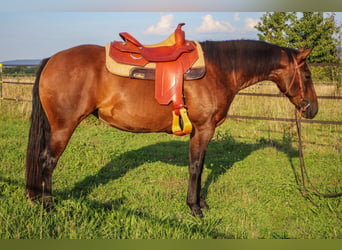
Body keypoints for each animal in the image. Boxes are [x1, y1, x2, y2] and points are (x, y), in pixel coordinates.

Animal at [26, 39, 318, 217]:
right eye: (307, 75)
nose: (312, 109)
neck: (219, 70)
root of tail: (52, 59)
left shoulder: (202, 132)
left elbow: (200, 167)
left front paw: (201, 203)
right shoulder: (203, 129)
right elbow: (195, 167)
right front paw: (194, 208)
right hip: (63, 127)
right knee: (48, 161)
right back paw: (48, 205)